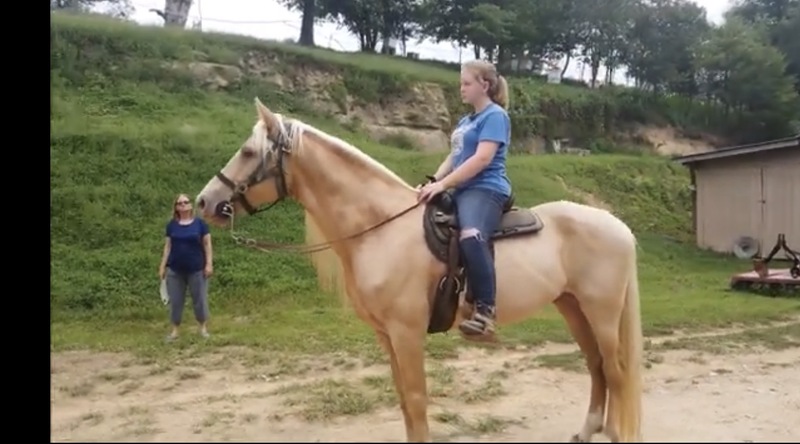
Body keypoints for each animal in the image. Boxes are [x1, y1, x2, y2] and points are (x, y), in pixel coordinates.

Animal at [195, 98, 644, 443]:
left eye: (248, 152)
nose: (203, 202)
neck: (381, 229)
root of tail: (618, 225)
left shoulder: (406, 332)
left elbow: (415, 399)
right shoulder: (386, 335)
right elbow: (403, 400)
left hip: (602, 313)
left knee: (617, 372)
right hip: (572, 307)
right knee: (597, 367)